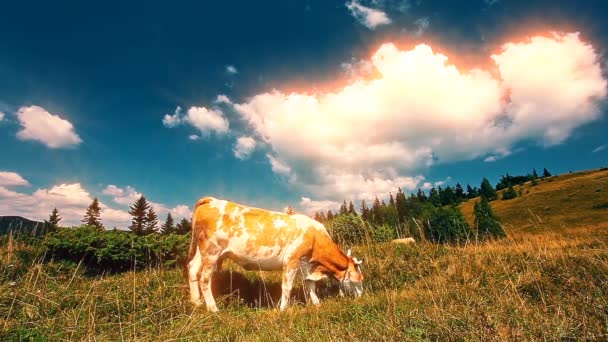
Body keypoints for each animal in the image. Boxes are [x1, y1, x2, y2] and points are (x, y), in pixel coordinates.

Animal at [188, 196, 364, 312]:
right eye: (359, 280)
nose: (362, 296)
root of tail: (212, 199)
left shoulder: (305, 264)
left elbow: (310, 285)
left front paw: (316, 304)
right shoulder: (292, 260)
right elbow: (287, 287)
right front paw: (283, 309)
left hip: (202, 252)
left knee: (192, 268)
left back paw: (196, 302)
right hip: (211, 252)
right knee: (205, 279)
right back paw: (213, 309)